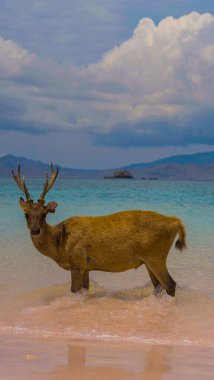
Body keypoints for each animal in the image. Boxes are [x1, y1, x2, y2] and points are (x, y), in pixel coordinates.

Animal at [11, 165, 186, 296]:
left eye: (44, 213)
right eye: (26, 214)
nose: (35, 230)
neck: (60, 246)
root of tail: (176, 222)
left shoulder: (77, 262)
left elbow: (74, 291)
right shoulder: (86, 267)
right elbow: (85, 290)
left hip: (156, 255)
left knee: (170, 284)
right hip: (149, 259)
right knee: (158, 287)